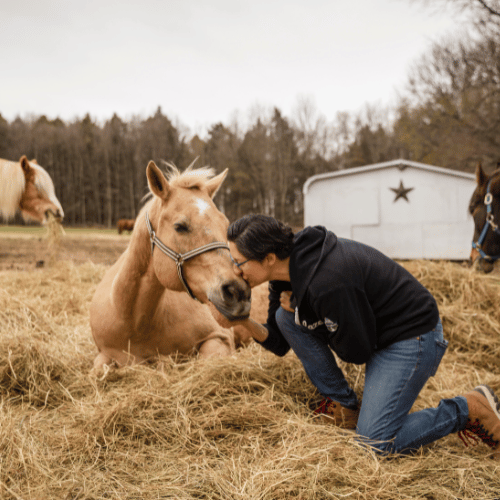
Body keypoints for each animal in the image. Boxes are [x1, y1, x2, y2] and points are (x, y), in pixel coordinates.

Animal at [90, 159, 252, 368]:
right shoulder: (104, 354)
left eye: (225, 225)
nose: (238, 292)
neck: (134, 322)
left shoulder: (219, 338)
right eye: (180, 226)